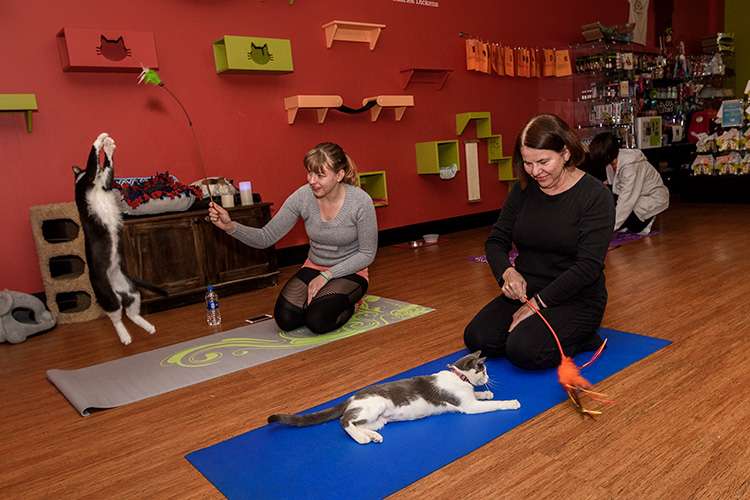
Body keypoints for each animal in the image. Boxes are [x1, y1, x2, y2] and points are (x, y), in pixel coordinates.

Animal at [270, 350, 524, 444]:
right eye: (485, 370)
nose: (488, 377)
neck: (460, 377)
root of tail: (351, 397)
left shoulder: (470, 398)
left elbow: (480, 395)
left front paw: (486, 391)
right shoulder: (469, 407)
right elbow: (493, 405)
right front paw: (510, 402)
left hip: (379, 420)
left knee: (357, 423)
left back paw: (372, 436)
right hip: (373, 407)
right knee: (344, 421)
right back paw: (363, 439)